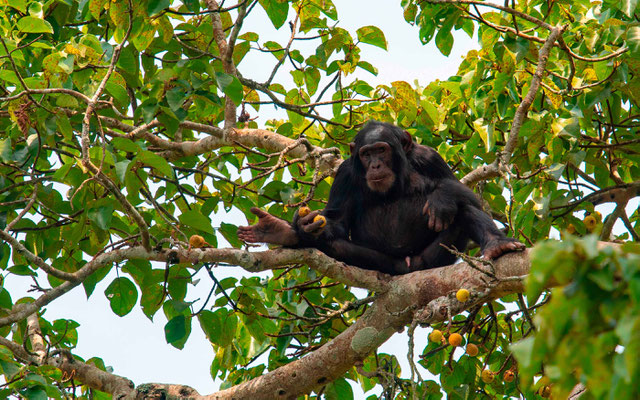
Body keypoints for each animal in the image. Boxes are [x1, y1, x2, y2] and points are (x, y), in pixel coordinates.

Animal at [238, 119, 524, 276]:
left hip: (433, 259)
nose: (375, 165)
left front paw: (442, 197)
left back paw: (496, 244)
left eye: (381, 150)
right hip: (383, 264)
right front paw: (306, 225)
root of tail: (407, 267)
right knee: (331, 244)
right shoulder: (344, 174)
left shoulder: (429, 157)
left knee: (462, 209)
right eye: (366, 154)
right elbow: (337, 221)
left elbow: (464, 194)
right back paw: (280, 231)